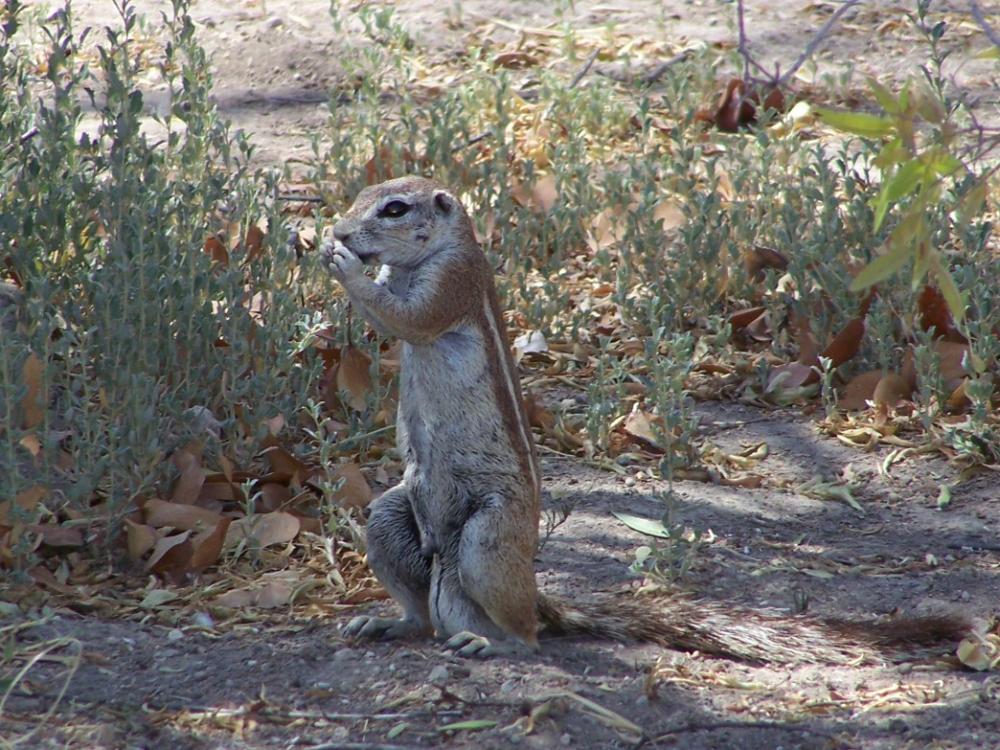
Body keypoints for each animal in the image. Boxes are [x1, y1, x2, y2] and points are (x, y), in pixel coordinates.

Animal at [324, 178, 964, 664]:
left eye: (394, 208)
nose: (340, 231)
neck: (428, 256)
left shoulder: (450, 282)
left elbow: (406, 318)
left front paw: (342, 265)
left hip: (488, 537)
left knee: (526, 633)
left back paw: (496, 644)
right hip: (393, 522)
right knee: (424, 609)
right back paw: (390, 623)